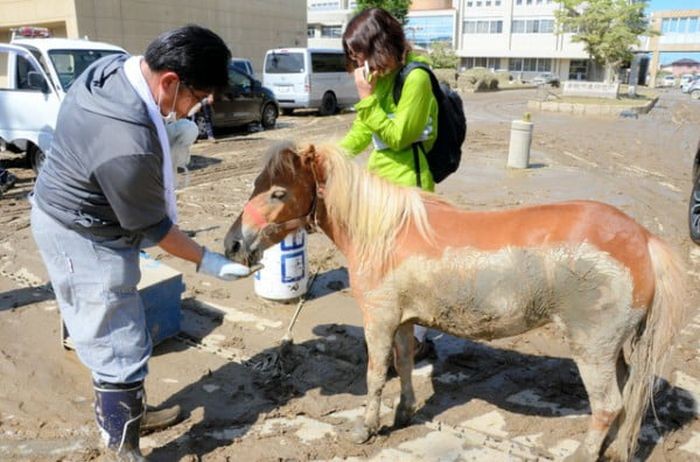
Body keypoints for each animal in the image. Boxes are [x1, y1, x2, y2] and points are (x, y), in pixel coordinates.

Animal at [226, 143, 688, 460]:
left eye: (278, 192)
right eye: (256, 185)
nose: (233, 244)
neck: (384, 233)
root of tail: (642, 240)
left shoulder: (379, 320)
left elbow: (375, 376)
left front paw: (365, 428)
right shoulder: (403, 320)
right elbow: (405, 366)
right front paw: (404, 413)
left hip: (592, 349)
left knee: (608, 405)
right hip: (613, 350)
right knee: (626, 397)